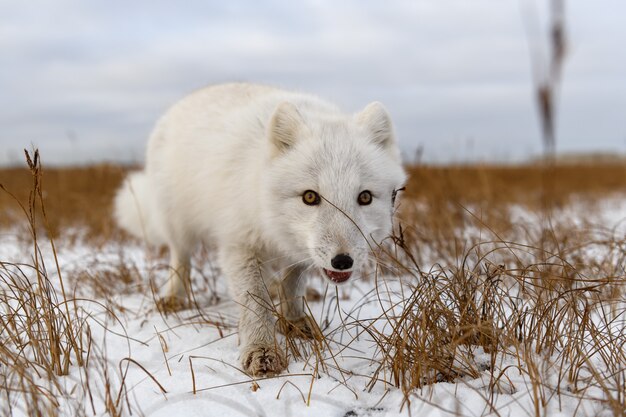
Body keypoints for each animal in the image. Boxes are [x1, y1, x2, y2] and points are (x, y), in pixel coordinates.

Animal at [113, 83, 404, 376]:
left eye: (364, 197)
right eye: (310, 197)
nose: (342, 261)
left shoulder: (297, 251)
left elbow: (292, 285)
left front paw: (294, 322)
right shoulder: (239, 244)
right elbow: (255, 302)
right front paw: (261, 349)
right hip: (178, 225)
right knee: (180, 260)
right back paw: (174, 296)